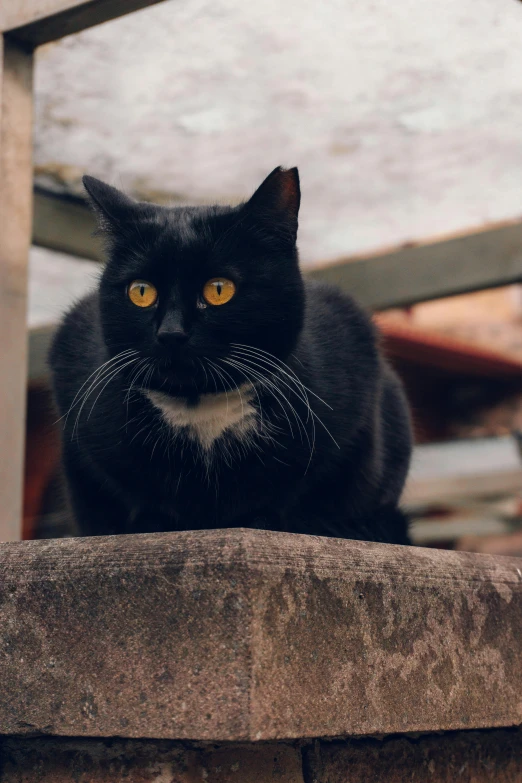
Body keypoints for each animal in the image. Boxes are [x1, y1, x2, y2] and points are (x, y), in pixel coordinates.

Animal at [48, 168, 410, 544]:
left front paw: (273, 518)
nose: (171, 333)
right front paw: (150, 522)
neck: (201, 409)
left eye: (219, 289)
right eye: (141, 291)